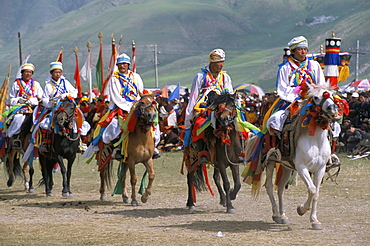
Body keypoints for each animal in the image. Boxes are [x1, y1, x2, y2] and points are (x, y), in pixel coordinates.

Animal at [264, 83, 342, 231]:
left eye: (331, 94)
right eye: (316, 97)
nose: (332, 108)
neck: (315, 140)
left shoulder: (320, 168)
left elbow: (316, 193)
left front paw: (315, 221)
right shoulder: (301, 168)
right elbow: (311, 189)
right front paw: (301, 209)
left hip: (287, 167)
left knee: (281, 188)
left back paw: (283, 216)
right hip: (270, 162)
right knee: (269, 186)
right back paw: (276, 214)